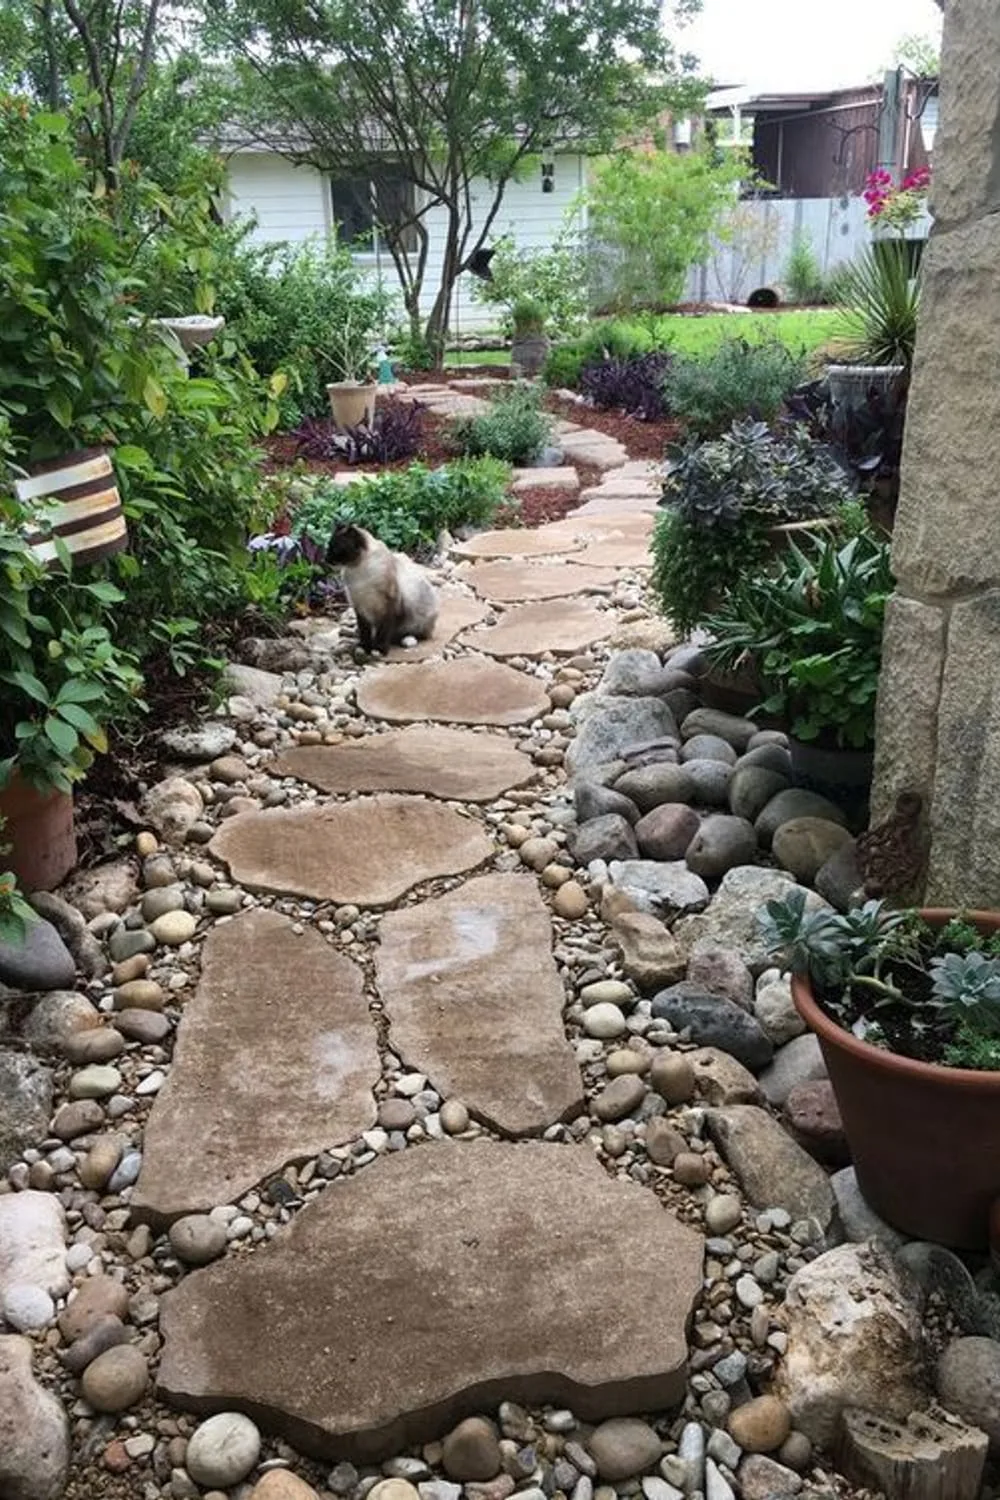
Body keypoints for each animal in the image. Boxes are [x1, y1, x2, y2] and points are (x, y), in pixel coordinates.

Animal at [328, 522, 437, 651]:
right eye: (329, 547)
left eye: (336, 549)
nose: (326, 559)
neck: (358, 570)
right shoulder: (359, 605)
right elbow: (364, 630)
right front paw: (364, 646)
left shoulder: (387, 607)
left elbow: (383, 630)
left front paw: (379, 648)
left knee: (411, 634)